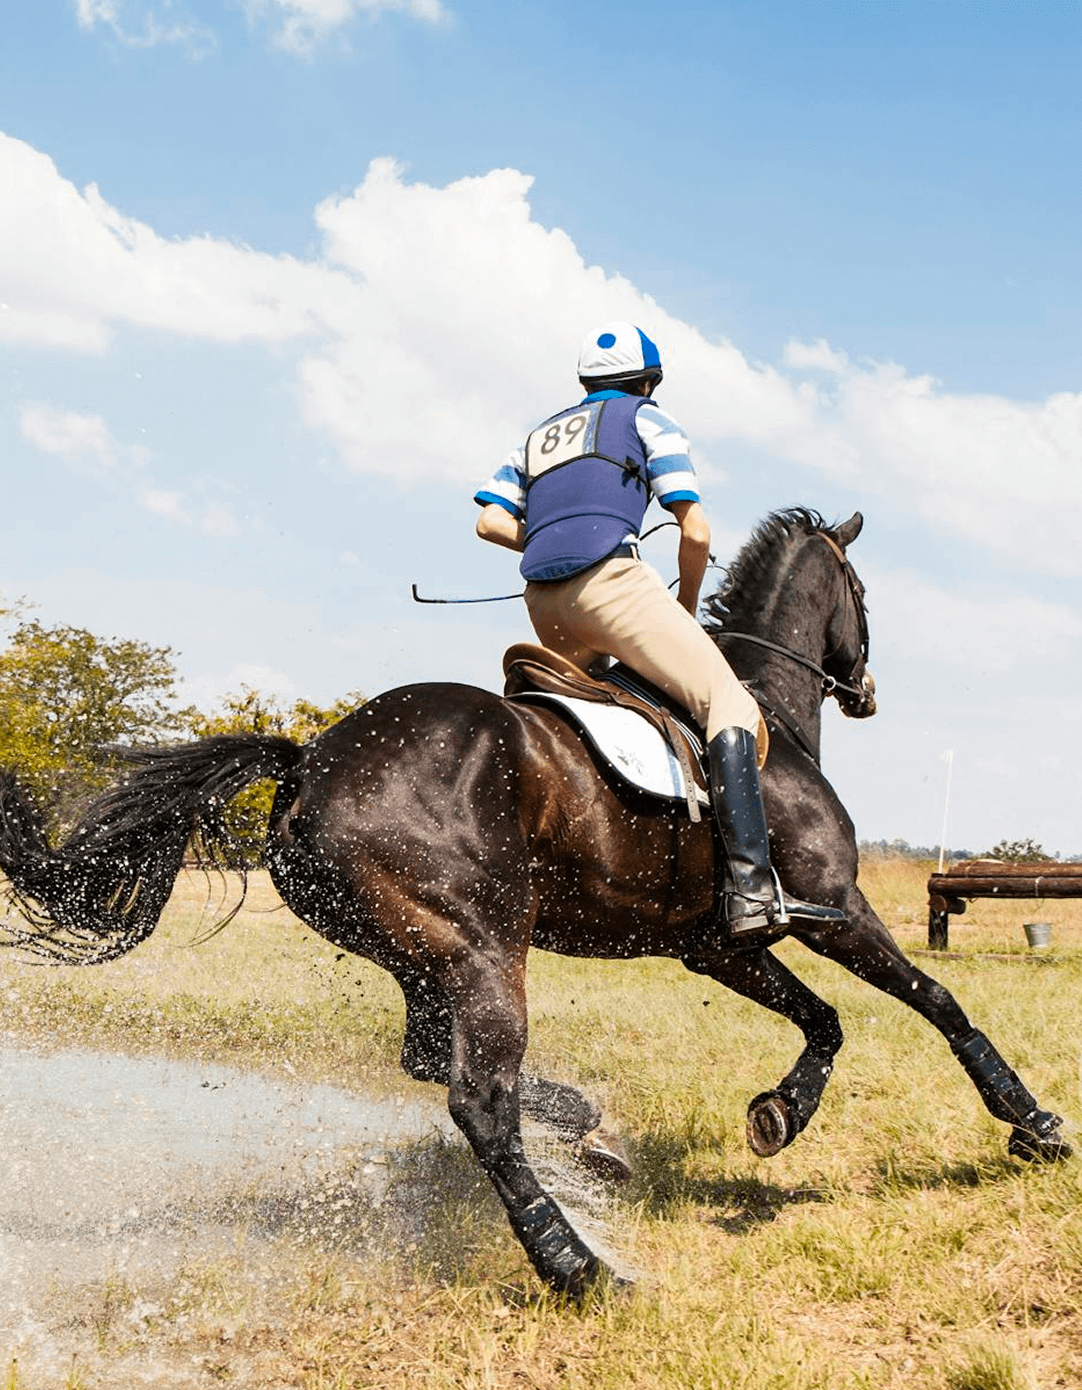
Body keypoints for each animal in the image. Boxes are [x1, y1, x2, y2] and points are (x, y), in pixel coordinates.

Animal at [0, 508, 1069, 1297]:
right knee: (479, 1098)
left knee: (433, 1061)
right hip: (482, 949)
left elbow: (826, 1020)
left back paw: (590, 1139)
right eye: (862, 595)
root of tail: (311, 761)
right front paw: (1032, 1123)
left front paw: (780, 1113)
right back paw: (577, 1264)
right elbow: (936, 1001)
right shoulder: (834, 906)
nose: (867, 688)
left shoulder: (718, 944)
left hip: (424, 951)